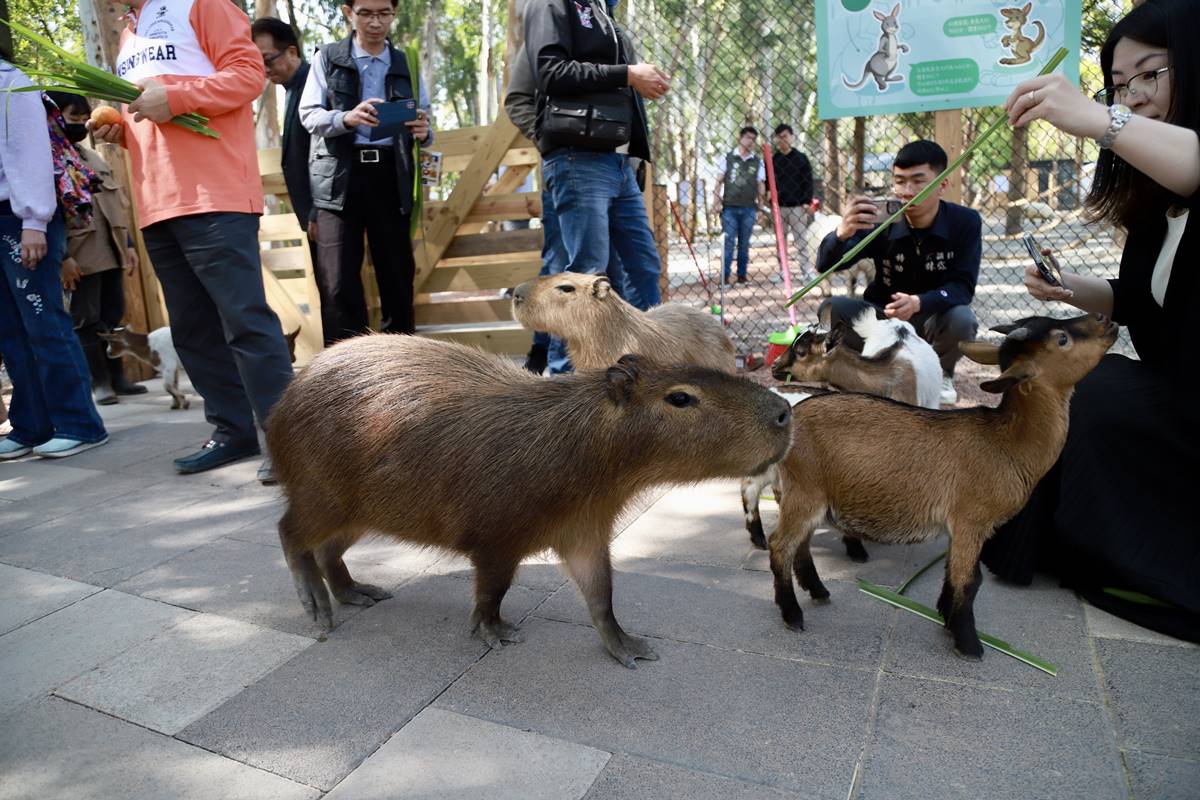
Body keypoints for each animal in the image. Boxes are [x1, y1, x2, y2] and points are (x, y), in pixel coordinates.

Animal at [272, 335, 796, 671]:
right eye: (681, 398)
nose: (784, 412)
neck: (571, 437)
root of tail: (281, 405)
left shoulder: (586, 532)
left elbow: (602, 594)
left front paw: (629, 648)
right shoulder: (497, 538)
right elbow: (492, 589)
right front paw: (495, 632)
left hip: (360, 512)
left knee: (329, 550)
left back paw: (359, 591)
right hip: (321, 495)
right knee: (290, 533)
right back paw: (317, 606)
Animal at [768, 316, 1113, 662]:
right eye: (1062, 339)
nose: (1106, 321)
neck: (1006, 442)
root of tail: (793, 416)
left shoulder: (959, 527)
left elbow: (953, 573)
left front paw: (947, 621)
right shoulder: (970, 521)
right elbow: (969, 580)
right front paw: (968, 643)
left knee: (800, 543)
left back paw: (818, 591)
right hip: (805, 491)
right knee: (780, 545)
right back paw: (792, 615)